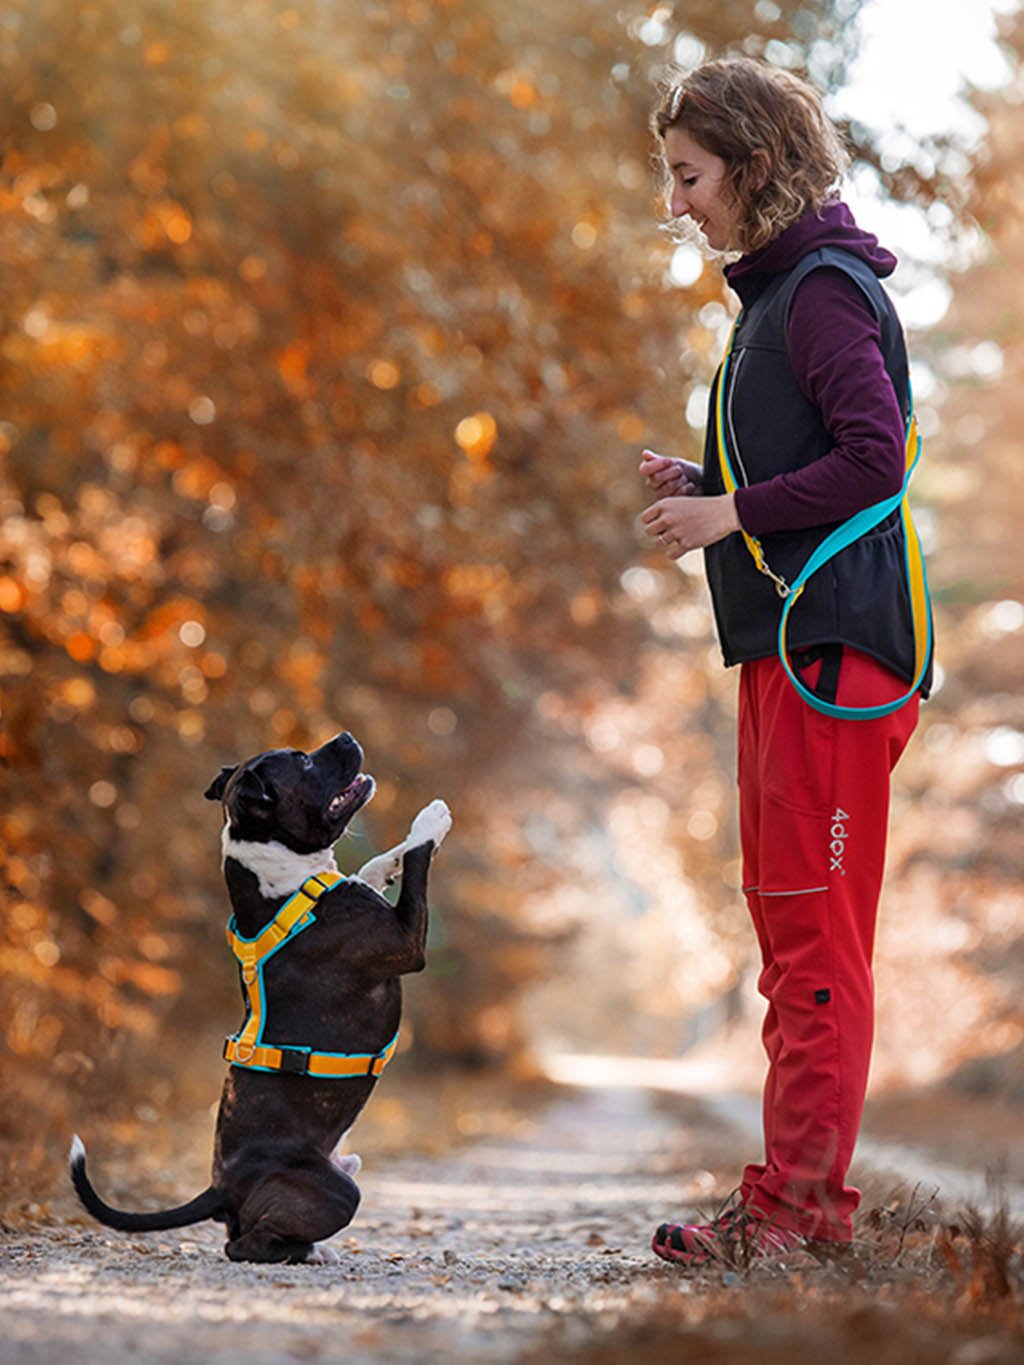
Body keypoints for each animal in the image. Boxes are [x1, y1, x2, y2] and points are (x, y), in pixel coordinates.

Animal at [72, 731, 453, 1261]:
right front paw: (431, 820)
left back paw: (312, 1249)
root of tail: (220, 1188)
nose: (346, 736)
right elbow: (419, 860)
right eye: (303, 761)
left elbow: (372, 867)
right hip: (339, 1190)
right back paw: (305, 1253)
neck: (285, 878)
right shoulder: (405, 943)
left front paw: (390, 858)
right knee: (243, 1245)